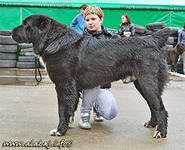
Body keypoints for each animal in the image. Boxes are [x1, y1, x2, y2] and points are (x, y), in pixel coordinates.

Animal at [11, 14, 173, 139]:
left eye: (25, 24)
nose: (12, 31)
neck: (53, 40)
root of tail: (152, 39)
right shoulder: (72, 89)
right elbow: (71, 108)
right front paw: (68, 125)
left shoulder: (64, 85)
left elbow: (62, 110)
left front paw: (60, 131)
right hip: (141, 84)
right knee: (153, 106)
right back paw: (152, 124)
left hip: (147, 82)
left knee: (160, 108)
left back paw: (161, 132)